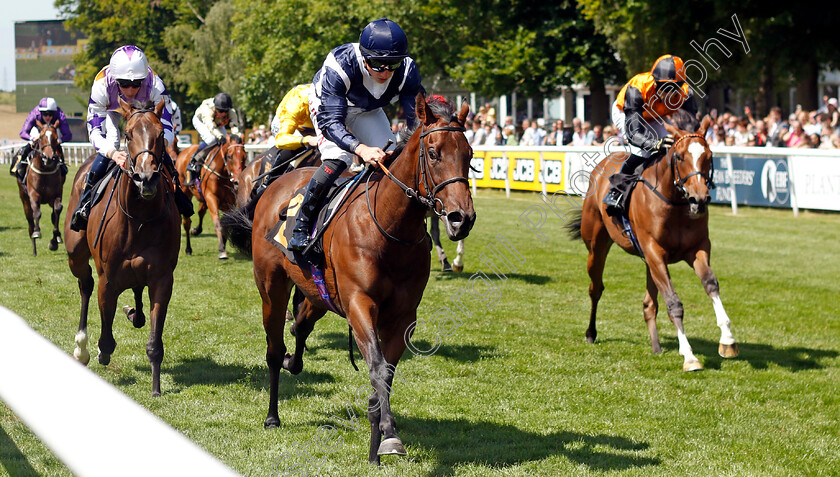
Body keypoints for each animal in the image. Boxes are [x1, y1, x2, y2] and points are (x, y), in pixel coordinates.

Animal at [17, 121, 66, 255]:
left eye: (55, 138)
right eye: (41, 137)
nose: (49, 158)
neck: (45, 170)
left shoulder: (56, 194)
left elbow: (57, 210)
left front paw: (54, 240)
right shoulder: (33, 194)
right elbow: (37, 212)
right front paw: (37, 232)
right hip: (24, 198)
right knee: (30, 220)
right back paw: (34, 247)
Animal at [65, 96, 182, 394]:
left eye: (160, 135)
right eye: (128, 135)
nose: (146, 178)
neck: (138, 218)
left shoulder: (162, 278)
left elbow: (154, 340)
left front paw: (156, 388)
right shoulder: (108, 279)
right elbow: (106, 340)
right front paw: (99, 351)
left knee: (137, 295)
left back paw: (133, 313)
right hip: (75, 255)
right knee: (85, 285)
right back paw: (81, 347)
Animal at [220, 95, 476, 462]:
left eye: (469, 155)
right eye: (433, 153)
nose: (461, 218)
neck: (389, 228)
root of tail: (275, 186)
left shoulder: (403, 316)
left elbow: (385, 373)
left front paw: (377, 444)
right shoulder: (359, 304)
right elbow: (378, 366)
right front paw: (389, 435)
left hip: (318, 292)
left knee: (301, 325)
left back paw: (294, 357)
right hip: (271, 288)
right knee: (274, 348)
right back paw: (272, 415)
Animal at [568, 116, 740, 372]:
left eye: (709, 156)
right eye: (679, 156)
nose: (699, 199)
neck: (674, 202)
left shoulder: (696, 249)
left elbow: (710, 284)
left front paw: (728, 340)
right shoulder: (655, 252)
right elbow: (673, 303)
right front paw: (689, 356)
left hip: (649, 261)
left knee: (649, 304)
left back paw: (656, 346)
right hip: (596, 246)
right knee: (595, 288)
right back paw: (591, 333)